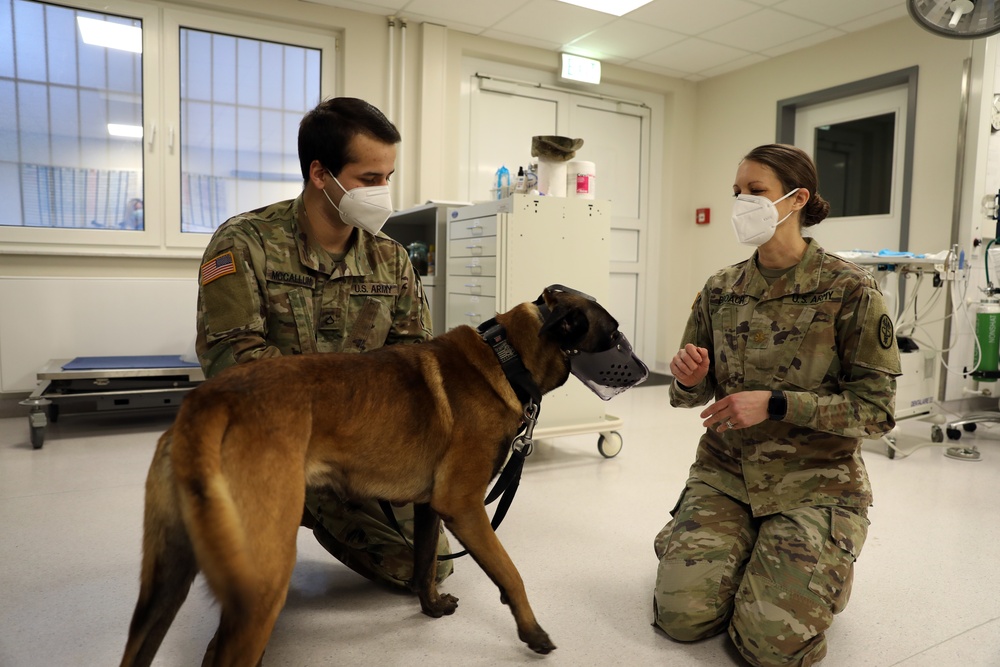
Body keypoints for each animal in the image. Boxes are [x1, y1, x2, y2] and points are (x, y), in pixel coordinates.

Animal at [117, 284, 624, 664]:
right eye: (615, 332)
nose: (635, 367)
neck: (506, 355)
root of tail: (210, 401)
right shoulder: (464, 507)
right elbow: (511, 573)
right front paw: (532, 631)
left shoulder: (430, 508)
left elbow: (424, 564)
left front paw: (430, 607)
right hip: (263, 579)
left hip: (163, 587)